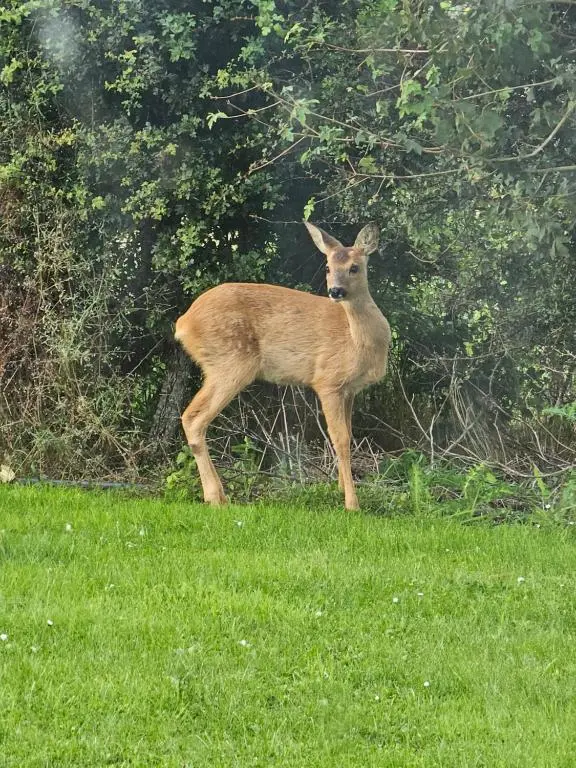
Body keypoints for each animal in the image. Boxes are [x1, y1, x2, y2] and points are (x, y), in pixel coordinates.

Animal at [174, 222, 391, 511]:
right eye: (328, 267)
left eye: (354, 267)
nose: (335, 291)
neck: (358, 340)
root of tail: (183, 324)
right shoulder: (328, 381)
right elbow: (340, 439)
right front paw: (351, 503)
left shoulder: (350, 390)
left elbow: (348, 435)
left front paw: (339, 489)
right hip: (230, 362)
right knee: (193, 418)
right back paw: (217, 497)